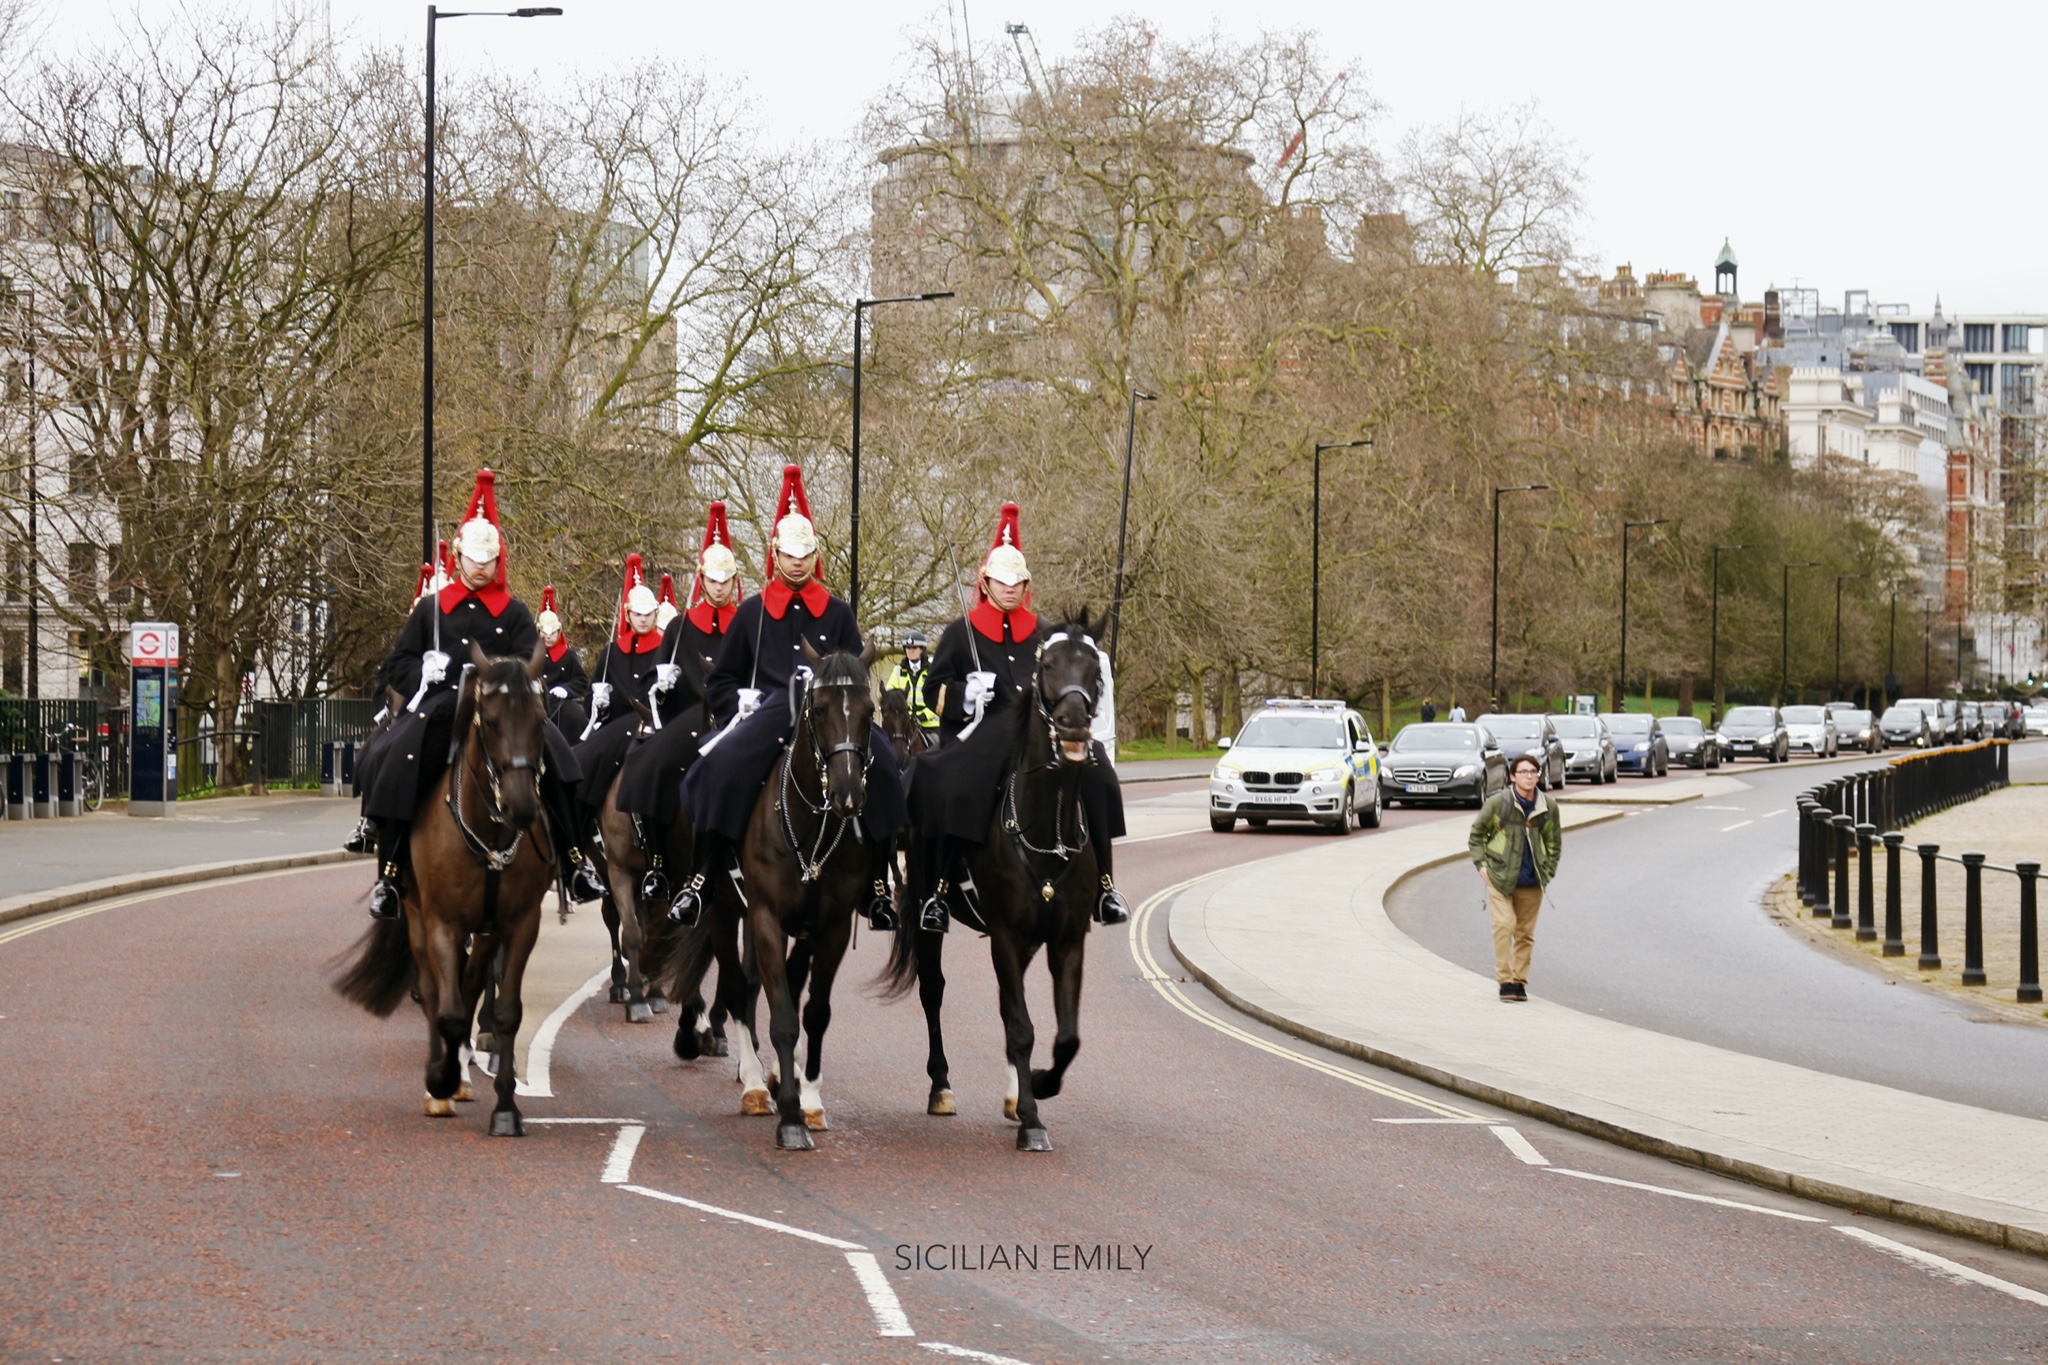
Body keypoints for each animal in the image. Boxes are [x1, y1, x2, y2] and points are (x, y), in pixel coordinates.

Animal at [337, 646, 557, 1137]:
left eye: (539, 720)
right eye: (489, 721)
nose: (522, 808)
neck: (489, 831)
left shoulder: (518, 925)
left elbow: (505, 1009)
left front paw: (506, 1108)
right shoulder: (443, 922)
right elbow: (448, 1008)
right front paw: (440, 1079)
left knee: (470, 984)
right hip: (417, 916)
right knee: (433, 990)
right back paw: (444, 1079)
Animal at [880, 618, 1105, 1154]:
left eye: (1094, 666)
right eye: (1048, 665)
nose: (1072, 724)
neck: (1048, 827)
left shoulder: (1067, 939)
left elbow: (1066, 1035)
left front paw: (1037, 1086)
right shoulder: (1005, 933)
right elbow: (1021, 1026)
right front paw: (1032, 1118)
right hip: (930, 912)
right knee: (933, 990)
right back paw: (941, 1087)